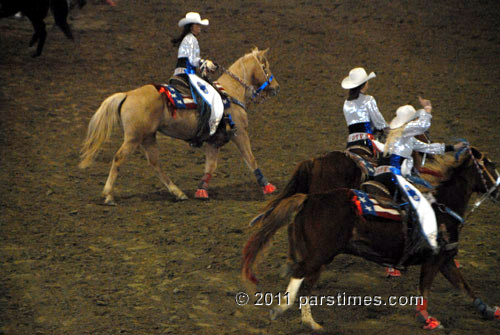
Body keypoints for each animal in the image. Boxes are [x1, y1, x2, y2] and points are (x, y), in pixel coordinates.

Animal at [80, 47, 280, 205]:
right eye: (265, 67)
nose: (276, 87)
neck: (230, 93)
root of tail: (127, 94)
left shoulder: (213, 141)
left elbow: (210, 166)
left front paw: (201, 190)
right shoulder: (240, 134)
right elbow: (250, 159)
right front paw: (268, 187)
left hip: (148, 137)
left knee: (155, 163)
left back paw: (178, 192)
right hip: (133, 138)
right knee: (119, 158)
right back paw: (108, 196)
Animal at [241, 148, 496, 334]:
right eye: (490, 165)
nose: (496, 190)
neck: (442, 210)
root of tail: (309, 199)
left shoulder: (445, 260)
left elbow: (465, 287)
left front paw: (490, 310)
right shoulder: (433, 261)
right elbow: (425, 290)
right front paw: (428, 319)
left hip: (315, 254)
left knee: (304, 281)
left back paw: (310, 321)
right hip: (321, 254)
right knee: (300, 278)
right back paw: (285, 311)